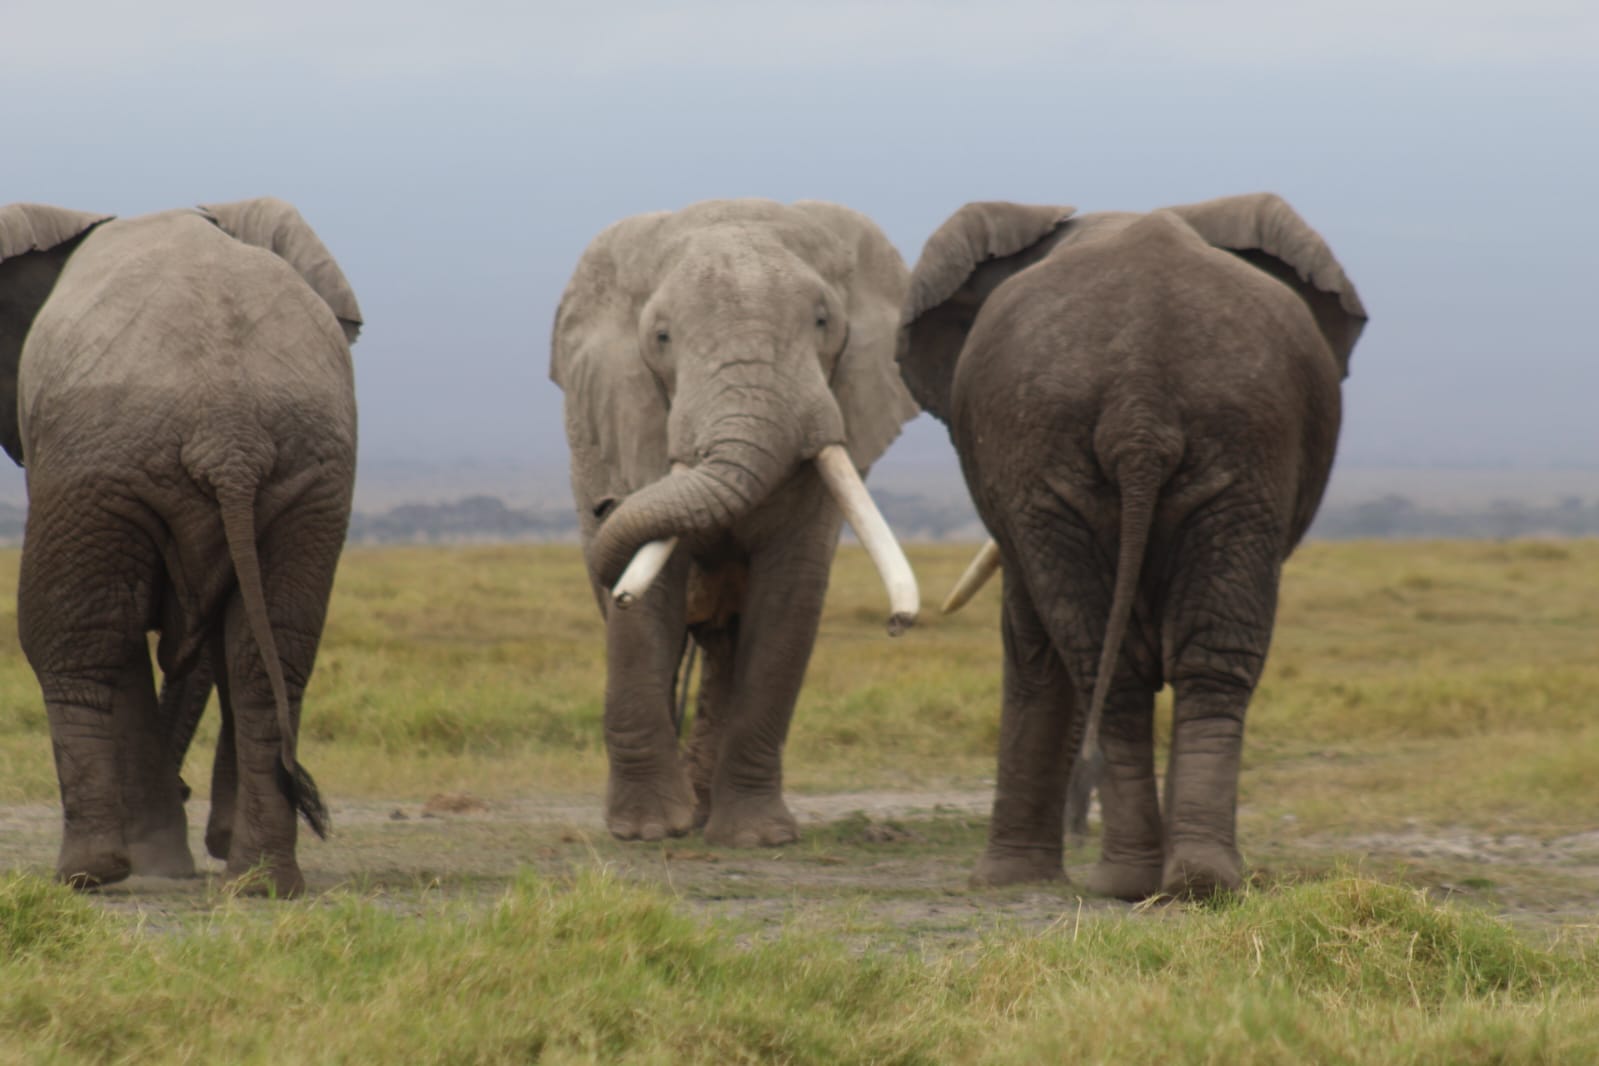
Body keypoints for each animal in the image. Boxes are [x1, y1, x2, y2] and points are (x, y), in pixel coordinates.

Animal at [0, 197, 363, 896]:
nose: (185, 786)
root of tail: (230, 433)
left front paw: (155, 863)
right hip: (311, 474)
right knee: (267, 656)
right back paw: (261, 881)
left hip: (101, 465)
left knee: (78, 640)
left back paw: (88, 873)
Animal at [552, 199, 920, 847]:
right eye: (662, 338)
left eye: (823, 322)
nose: (898, 624)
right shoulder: (634, 413)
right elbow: (651, 598)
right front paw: (645, 832)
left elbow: (788, 599)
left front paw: (757, 838)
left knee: (725, 643)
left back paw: (705, 815)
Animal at [897, 194, 1366, 899]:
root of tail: (1140, 401)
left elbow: (1029, 645)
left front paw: (1006, 878)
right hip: (1230, 445)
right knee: (1199, 661)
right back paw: (1194, 877)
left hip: (1107, 448)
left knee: (1114, 664)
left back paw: (1139, 879)